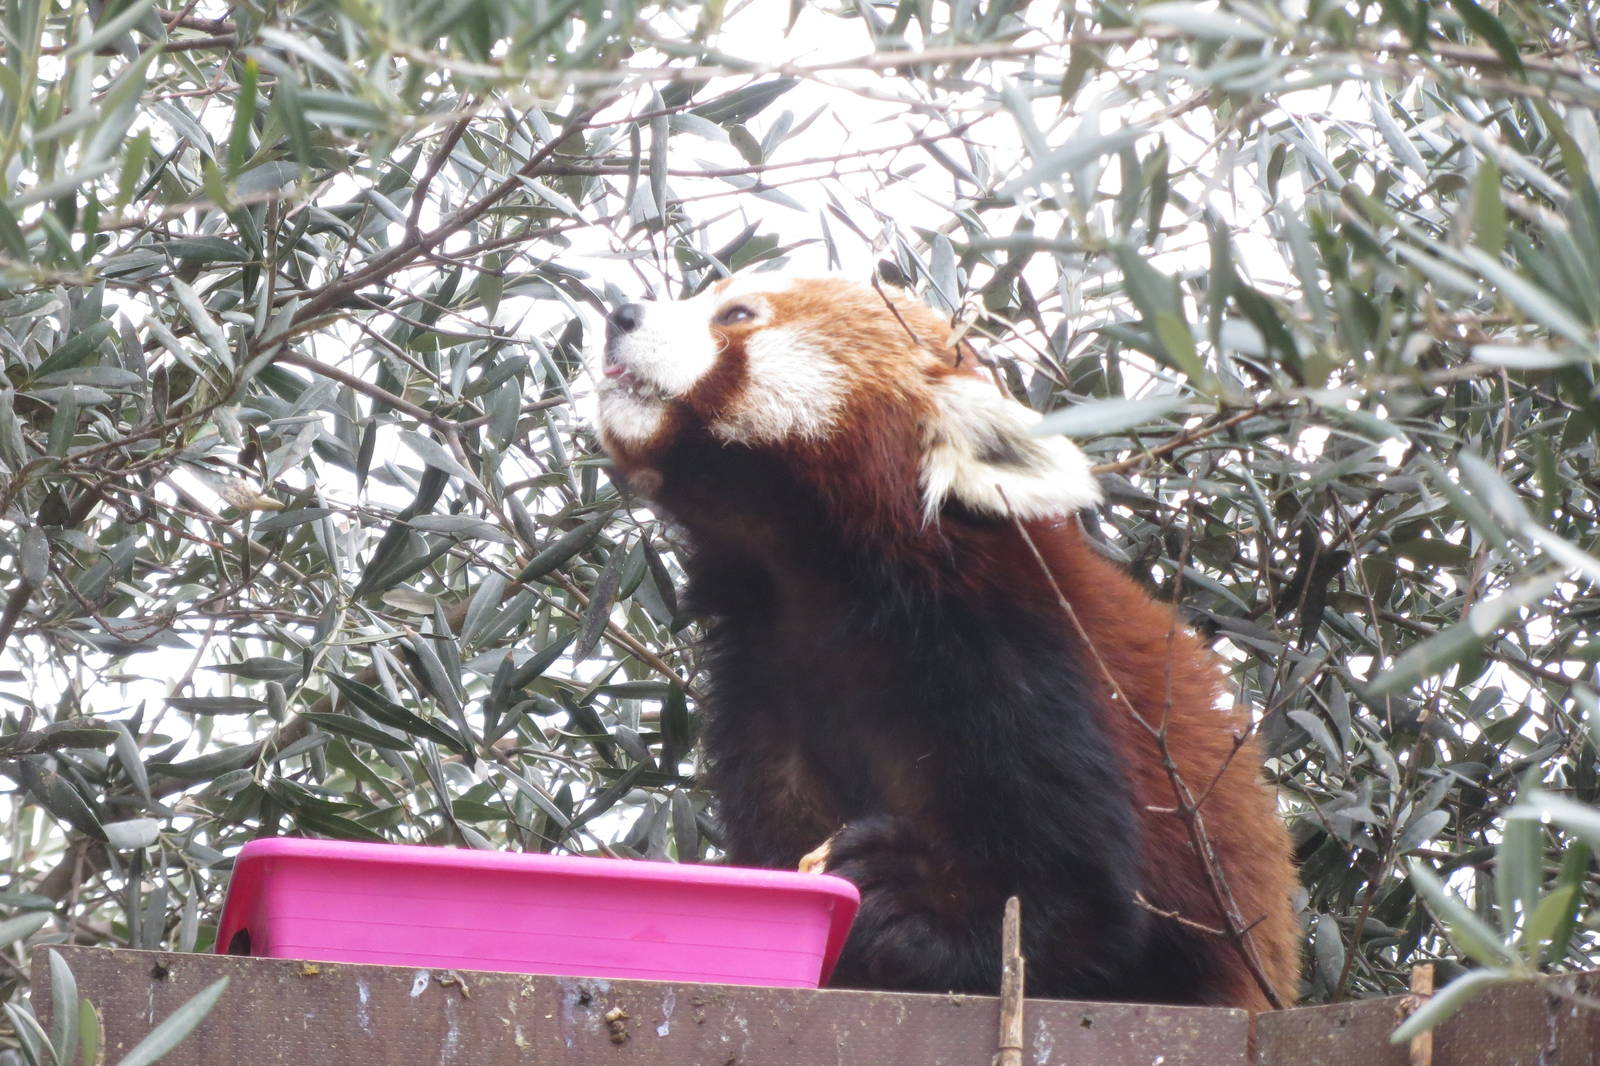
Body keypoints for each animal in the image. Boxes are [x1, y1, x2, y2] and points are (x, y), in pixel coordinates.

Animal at [592, 274, 1299, 1010]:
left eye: (735, 315)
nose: (619, 314)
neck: (818, 585)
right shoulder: (763, 678)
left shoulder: (1013, 659)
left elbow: (1083, 917)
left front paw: (903, 896)